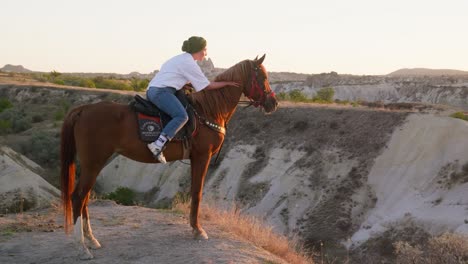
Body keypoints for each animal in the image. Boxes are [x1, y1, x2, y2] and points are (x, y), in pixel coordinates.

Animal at [59, 54, 278, 258]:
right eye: (262, 77)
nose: (273, 103)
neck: (209, 110)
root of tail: (83, 109)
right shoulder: (202, 156)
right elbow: (197, 192)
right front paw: (198, 230)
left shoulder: (195, 158)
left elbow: (193, 191)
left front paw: (194, 227)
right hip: (93, 162)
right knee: (78, 197)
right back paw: (82, 247)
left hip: (93, 164)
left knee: (85, 197)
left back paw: (91, 239)